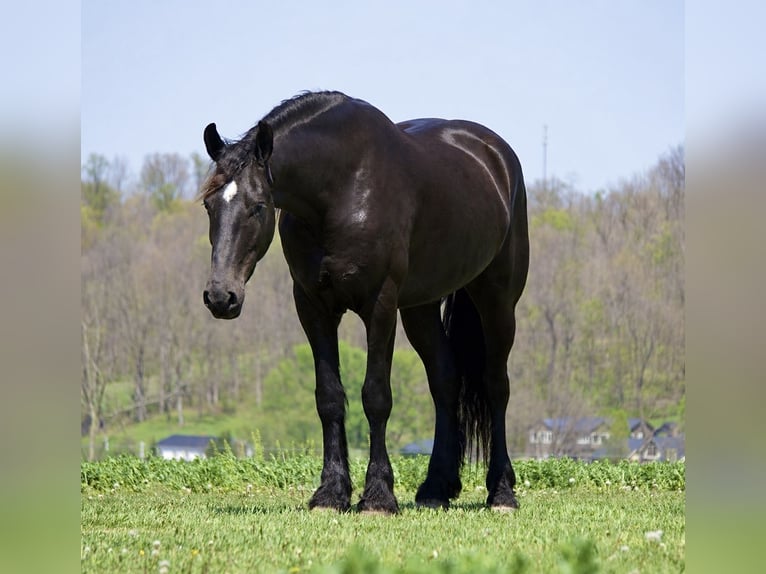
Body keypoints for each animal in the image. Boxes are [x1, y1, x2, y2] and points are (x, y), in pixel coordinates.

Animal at [199, 91, 529, 513]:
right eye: (209, 206)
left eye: (258, 205)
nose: (221, 296)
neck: (342, 188)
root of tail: (496, 155)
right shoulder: (313, 306)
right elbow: (329, 397)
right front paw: (331, 493)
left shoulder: (380, 306)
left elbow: (376, 396)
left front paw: (378, 497)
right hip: (420, 308)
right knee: (445, 380)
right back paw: (436, 487)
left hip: (497, 299)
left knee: (496, 385)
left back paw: (501, 492)